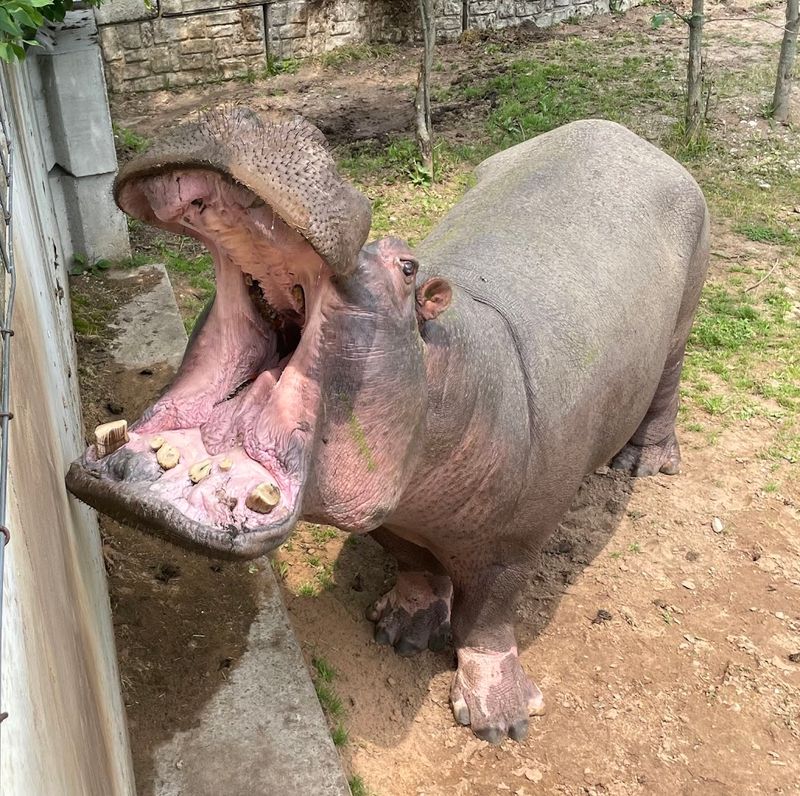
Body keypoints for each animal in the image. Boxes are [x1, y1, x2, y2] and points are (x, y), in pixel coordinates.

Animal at [66, 106, 709, 744]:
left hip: (682, 319)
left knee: (668, 383)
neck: (447, 367)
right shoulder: (394, 512)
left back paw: (644, 463)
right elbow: (414, 563)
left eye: (407, 264)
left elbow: (488, 617)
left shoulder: (515, 543)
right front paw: (400, 631)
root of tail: (625, 133)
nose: (249, 114)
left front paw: (499, 721)